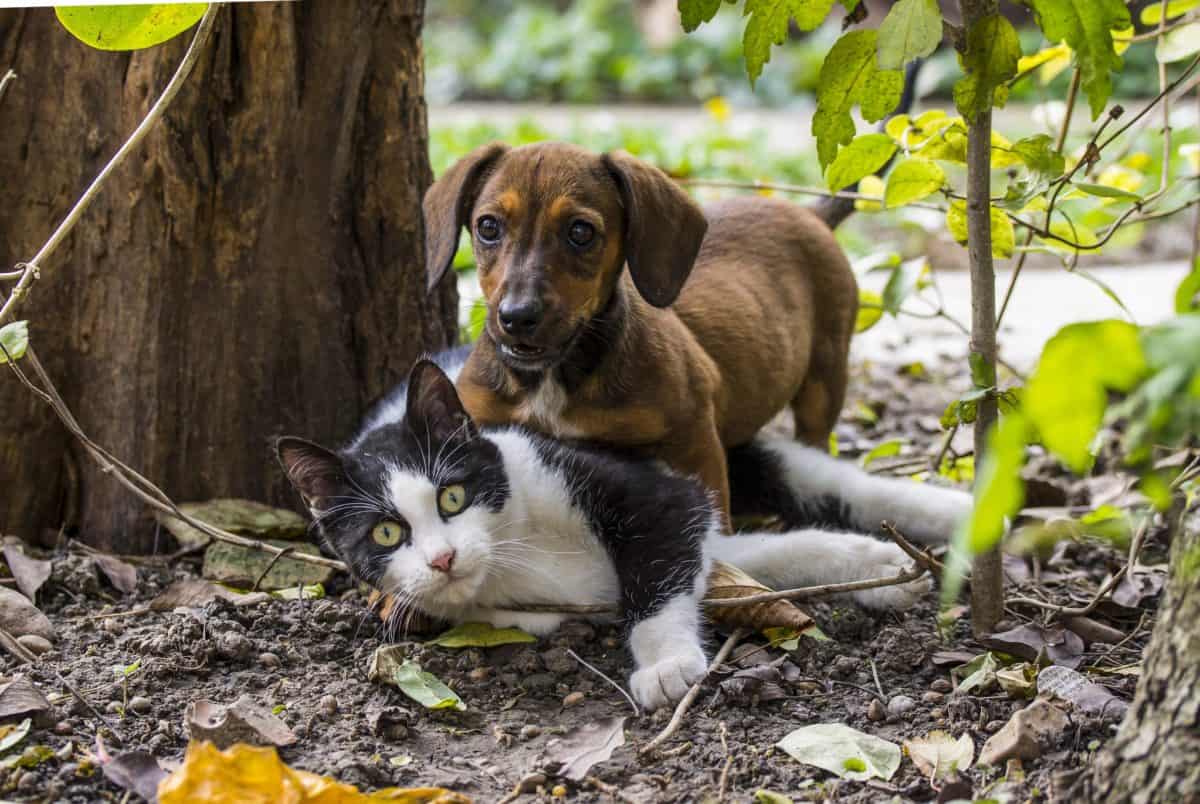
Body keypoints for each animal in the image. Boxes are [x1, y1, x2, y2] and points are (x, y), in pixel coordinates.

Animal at [276, 352, 969, 710]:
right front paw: (872, 566)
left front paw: (665, 664)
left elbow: (660, 563)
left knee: (828, 479)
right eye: (385, 535)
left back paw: (959, 515)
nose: (443, 559)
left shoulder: (643, 487)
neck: (514, 549)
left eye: (453, 495)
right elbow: (749, 556)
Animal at [427, 142, 859, 525]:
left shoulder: (695, 440)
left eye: (581, 231)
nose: (517, 317)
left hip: (825, 377)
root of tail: (811, 214)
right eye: (488, 227)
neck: (555, 377)